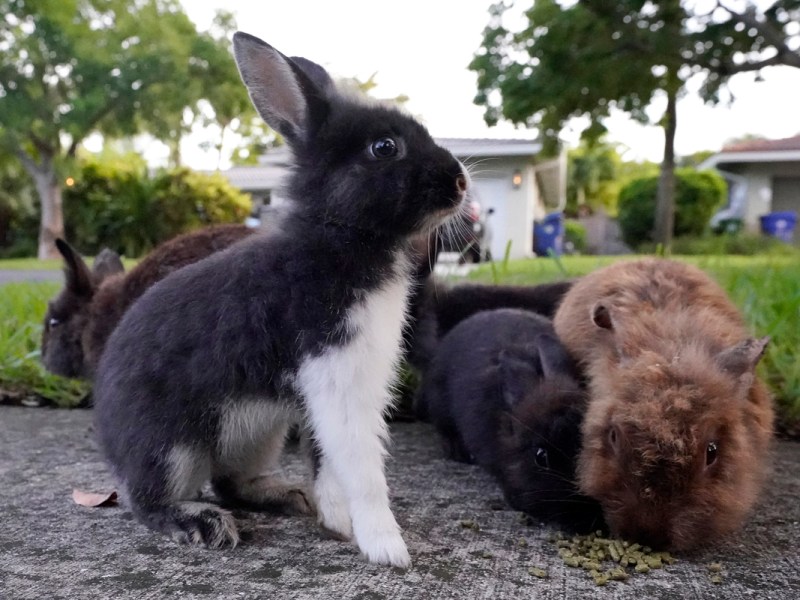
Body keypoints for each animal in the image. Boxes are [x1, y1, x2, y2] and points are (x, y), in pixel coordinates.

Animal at [91, 32, 469, 568]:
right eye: (384, 147)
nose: (460, 182)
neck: (341, 236)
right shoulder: (337, 376)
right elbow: (361, 468)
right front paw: (387, 548)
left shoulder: (326, 392)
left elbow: (327, 461)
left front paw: (336, 521)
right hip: (171, 448)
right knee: (148, 500)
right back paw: (202, 523)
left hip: (258, 433)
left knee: (230, 483)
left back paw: (290, 497)